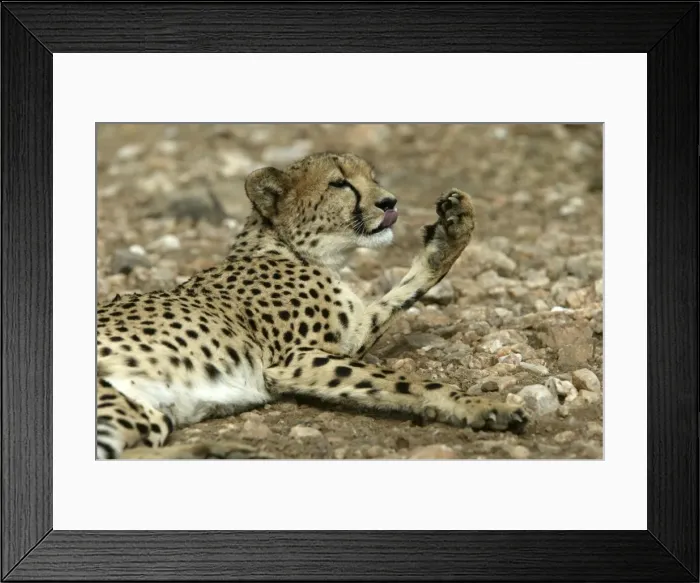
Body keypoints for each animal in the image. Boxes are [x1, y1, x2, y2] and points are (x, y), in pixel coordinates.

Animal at [96, 151, 528, 459]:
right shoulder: (293, 359)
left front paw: (455, 226)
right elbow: (407, 381)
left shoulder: (347, 336)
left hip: (140, 411)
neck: (296, 250)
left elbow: (404, 292)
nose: (389, 202)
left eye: (372, 177)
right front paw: (482, 405)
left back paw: (220, 452)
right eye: (340, 183)